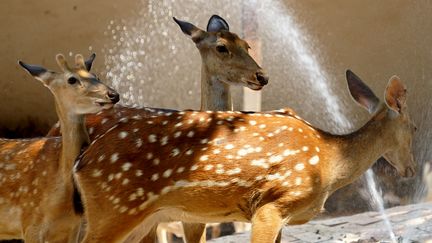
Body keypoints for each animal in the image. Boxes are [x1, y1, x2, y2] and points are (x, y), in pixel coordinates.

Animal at [75, 69, 418, 242]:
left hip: (140, 218)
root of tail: (81, 164)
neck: (329, 163)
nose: (412, 170)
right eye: (414, 127)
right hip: (114, 209)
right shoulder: (272, 204)